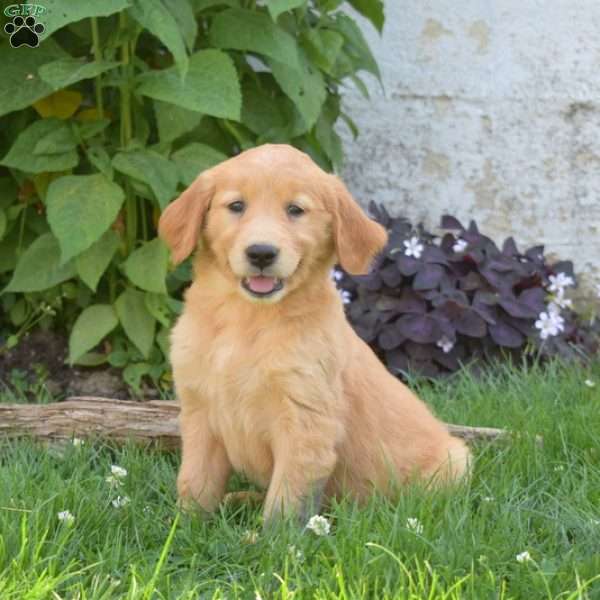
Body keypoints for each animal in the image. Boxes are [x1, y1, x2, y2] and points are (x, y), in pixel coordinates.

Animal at [158, 143, 468, 524]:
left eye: (295, 210)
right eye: (236, 206)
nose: (261, 253)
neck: (247, 320)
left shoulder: (305, 421)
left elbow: (285, 500)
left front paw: (268, 538)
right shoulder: (199, 411)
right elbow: (195, 481)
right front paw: (184, 527)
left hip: (454, 462)